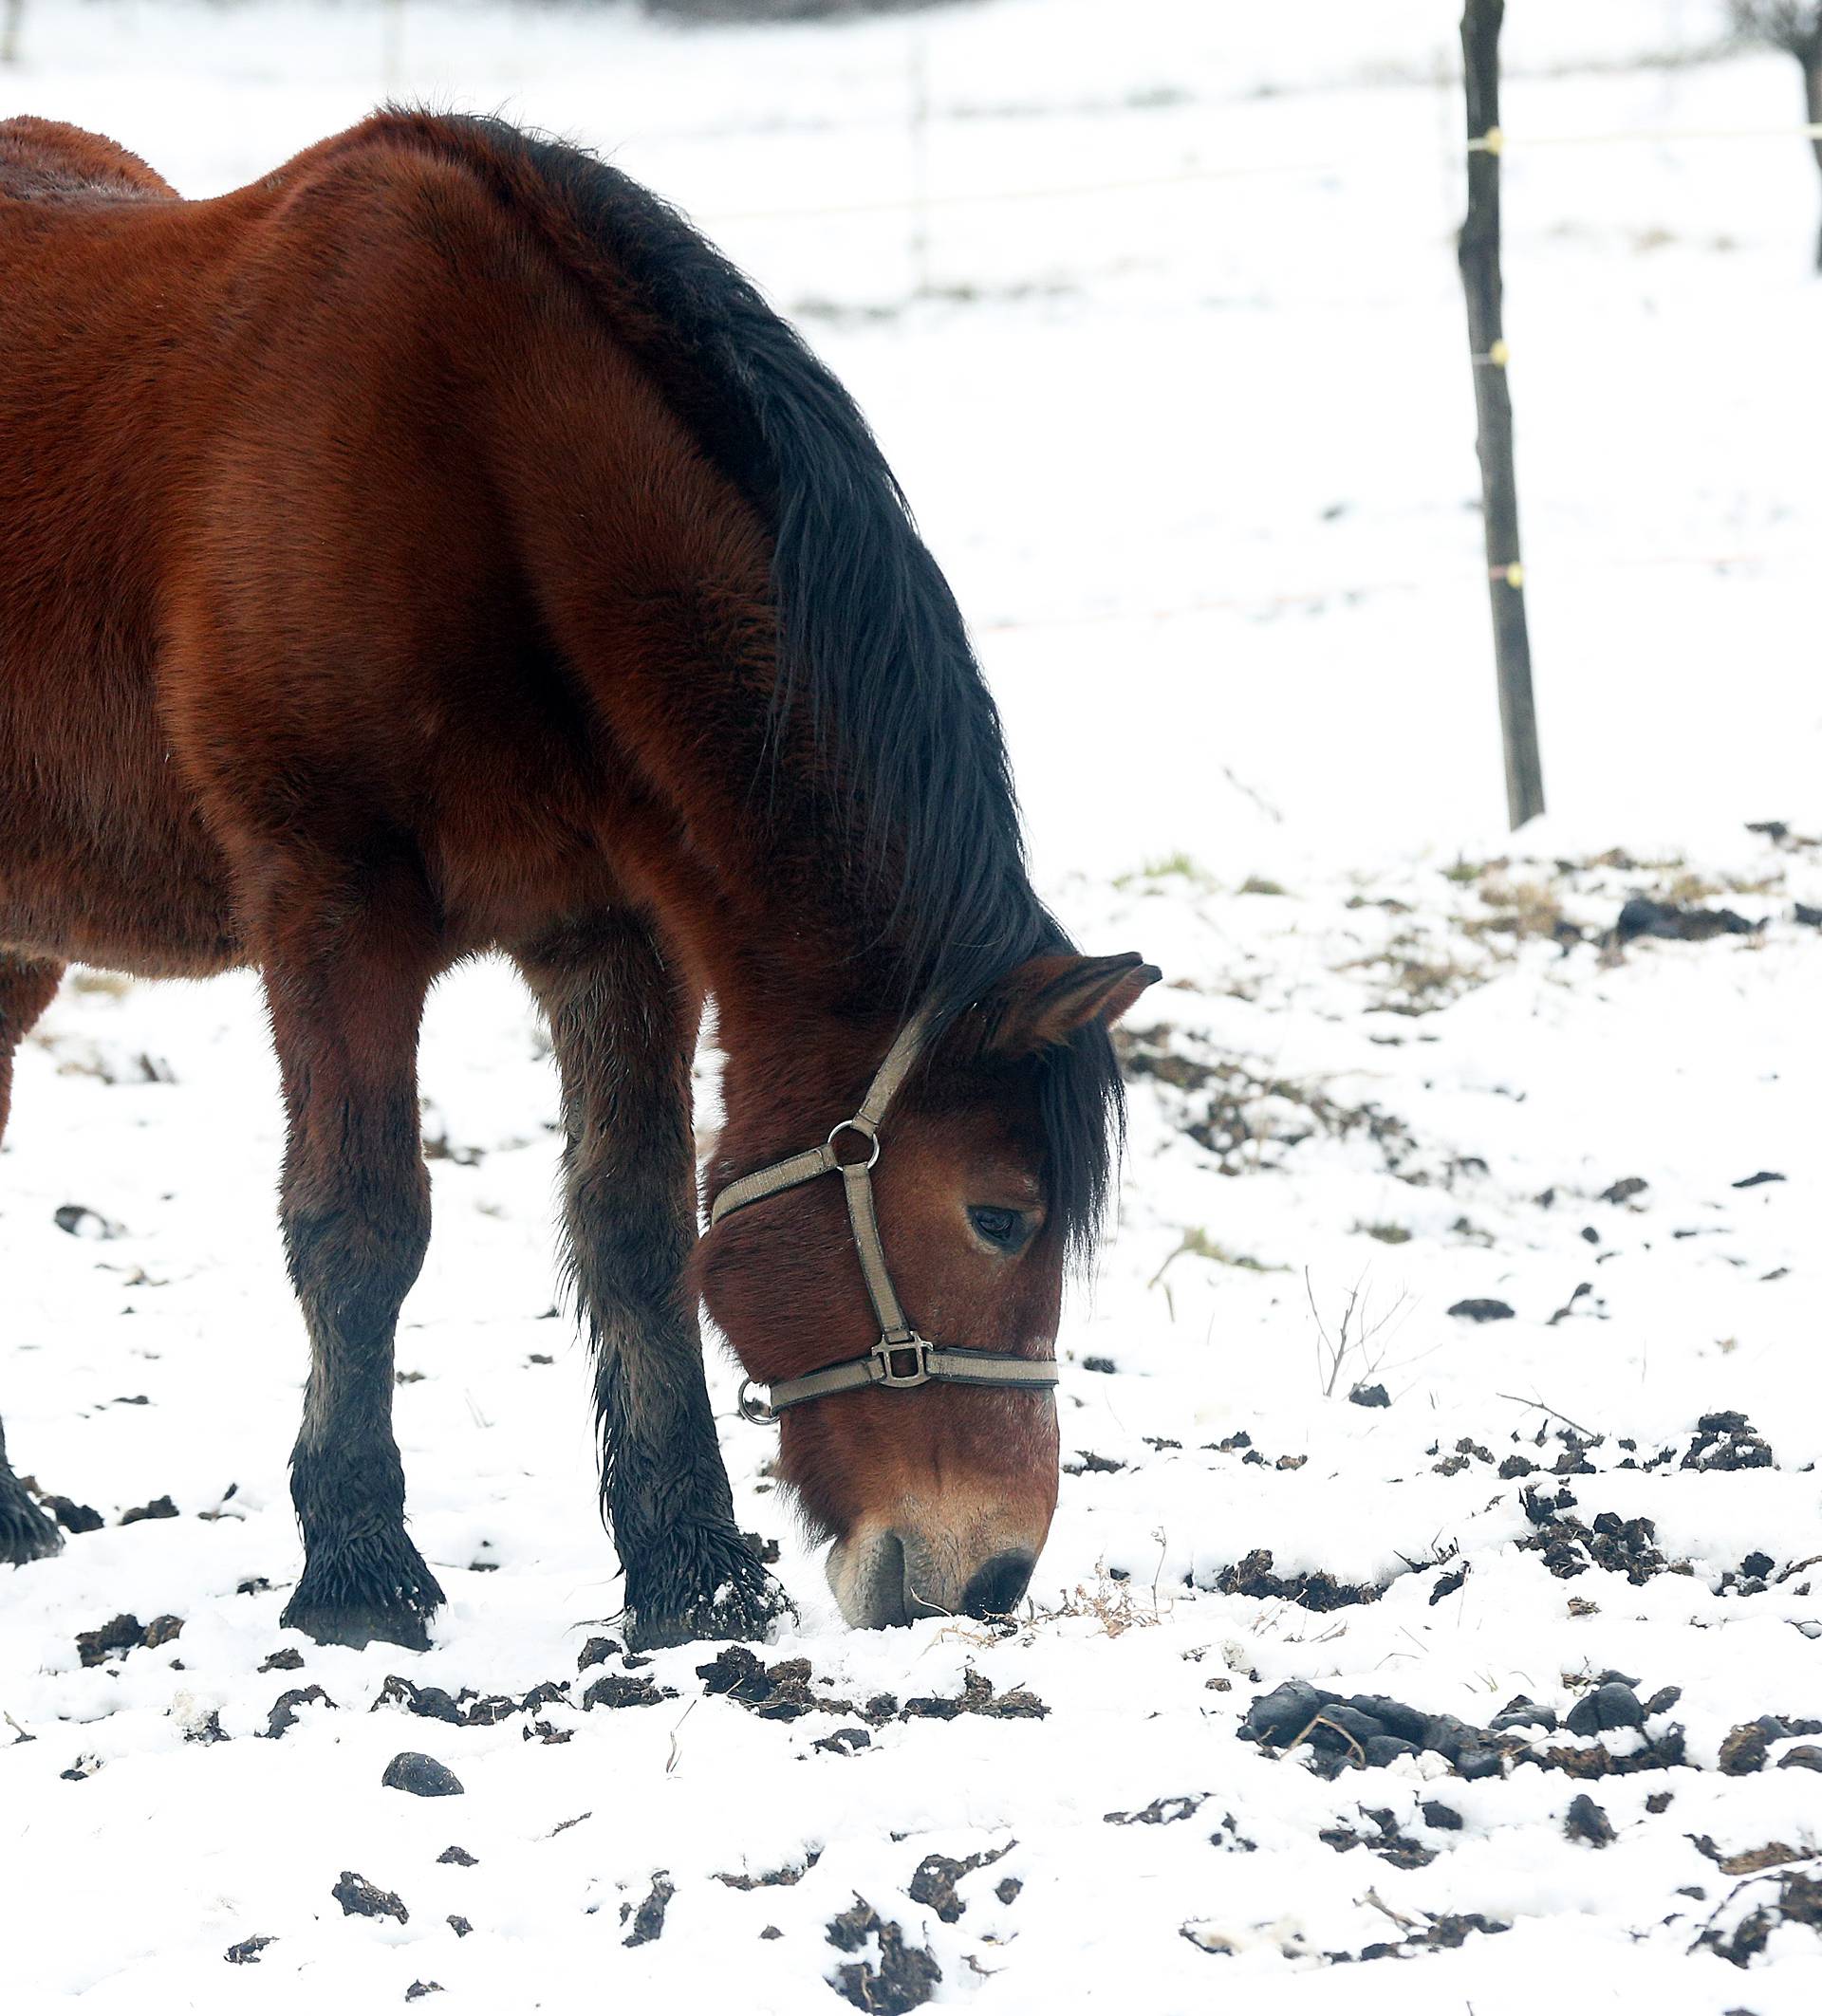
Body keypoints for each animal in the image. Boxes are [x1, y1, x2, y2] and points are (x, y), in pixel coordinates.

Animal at [0, 110, 1161, 1645]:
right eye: (1000, 1214)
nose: (989, 1572)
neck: (475, 461)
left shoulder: (616, 934)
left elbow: (634, 1228)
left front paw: (692, 1565)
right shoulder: (334, 913)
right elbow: (360, 1227)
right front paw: (358, 1569)